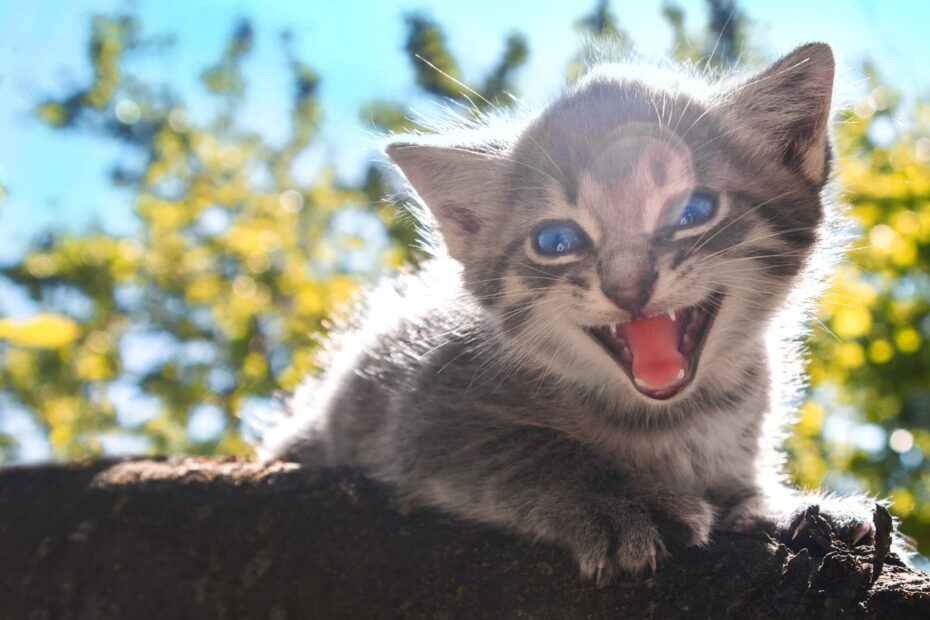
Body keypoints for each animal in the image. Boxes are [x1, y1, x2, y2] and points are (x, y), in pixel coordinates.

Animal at [260, 44, 876, 588]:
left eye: (693, 210)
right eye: (556, 241)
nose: (628, 285)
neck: (669, 419)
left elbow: (743, 482)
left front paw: (784, 504)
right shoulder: (423, 414)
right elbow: (535, 450)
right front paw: (625, 501)